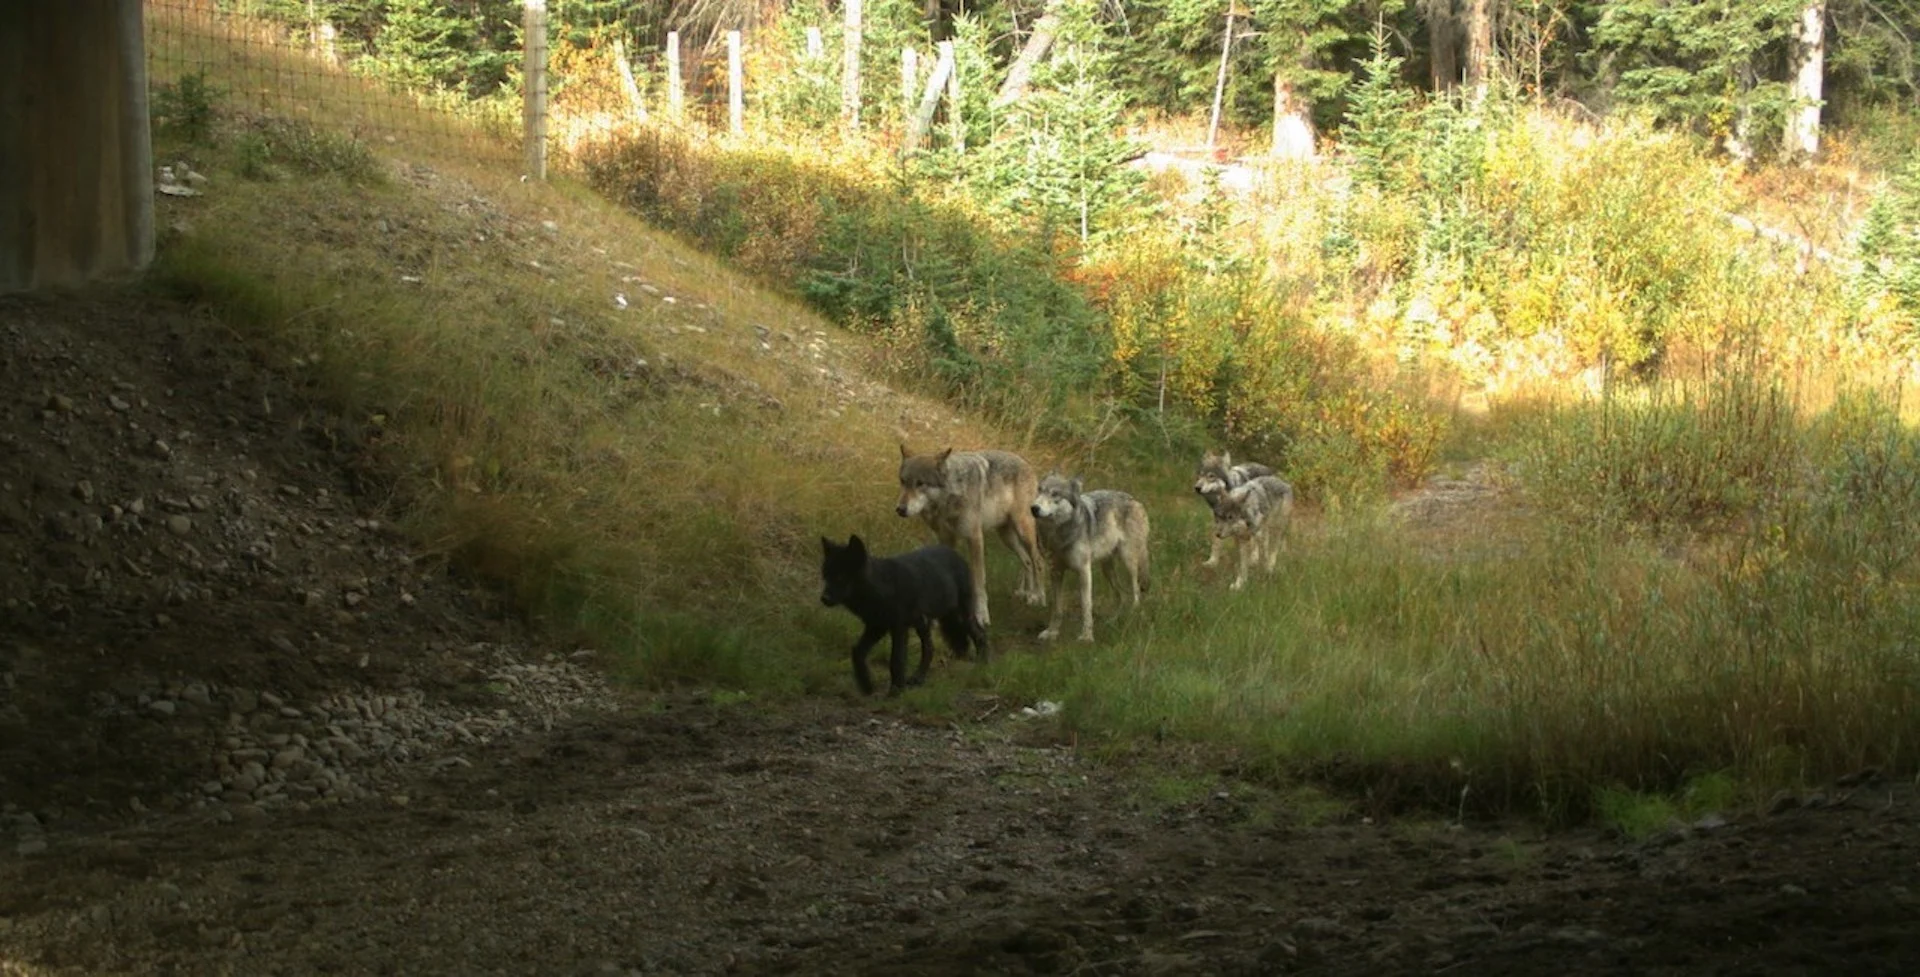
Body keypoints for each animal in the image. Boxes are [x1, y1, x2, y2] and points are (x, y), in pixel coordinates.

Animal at [817, 533, 990, 694]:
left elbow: (897, 659)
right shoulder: (876, 627)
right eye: (826, 576)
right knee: (930, 649)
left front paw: (896, 689)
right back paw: (918, 678)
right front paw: (866, 685)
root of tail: (957, 555)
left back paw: (983, 664)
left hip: (961, 616)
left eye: (841, 577)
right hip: (924, 623)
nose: (824, 599)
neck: (881, 587)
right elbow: (857, 652)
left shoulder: (898, 628)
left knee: (980, 634)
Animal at [898, 443, 1052, 625]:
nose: (900, 509)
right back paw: (1026, 596)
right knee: (1027, 561)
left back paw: (1038, 598)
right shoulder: (946, 539)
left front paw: (981, 616)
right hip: (1007, 537)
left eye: (920, 483)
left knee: (1038, 561)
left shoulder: (975, 538)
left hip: (1023, 530)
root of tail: (1025, 461)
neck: (949, 498)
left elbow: (978, 583)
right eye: (903, 482)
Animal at [1029, 470, 1144, 641]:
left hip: (1128, 562)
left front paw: (1086, 636)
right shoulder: (1056, 572)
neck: (1059, 536)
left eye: (1055, 494)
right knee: (1122, 595)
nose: (1033, 508)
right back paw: (1113, 622)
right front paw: (1052, 632)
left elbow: (1086, 606)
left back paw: (1131, 617)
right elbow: (1057, 607)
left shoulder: (1083, 571)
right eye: (1039, 490)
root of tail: (1134, 500)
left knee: (1136, 592)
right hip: (1107, 569)